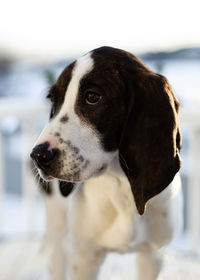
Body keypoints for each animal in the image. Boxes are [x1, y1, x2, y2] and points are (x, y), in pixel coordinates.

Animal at [30, 46, 182, 280]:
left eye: (93, 97)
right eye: (53, 101)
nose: (38, 156)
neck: (122, 188)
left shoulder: (153, 255)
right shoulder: (84, 258)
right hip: (57, 221)